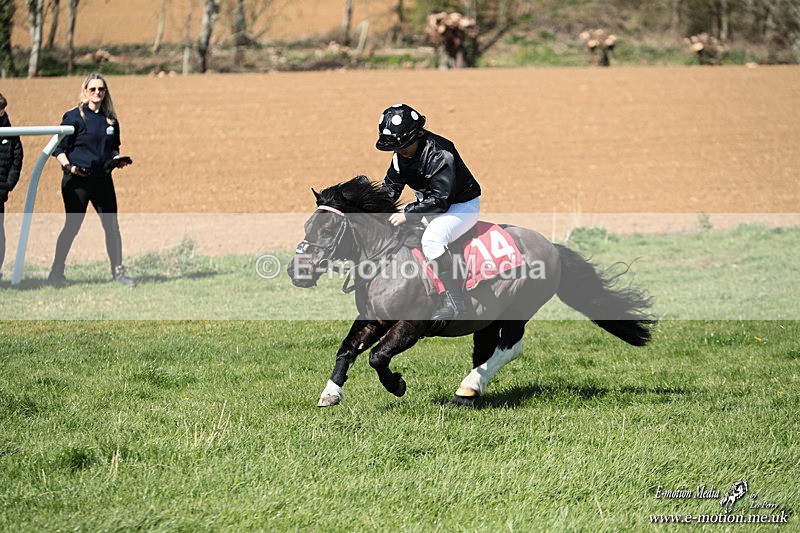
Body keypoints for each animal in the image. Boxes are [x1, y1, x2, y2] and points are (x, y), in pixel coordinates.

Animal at [287, 176, 655, 407]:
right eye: (307, 226)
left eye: (327, 229)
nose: (296, 271)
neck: (386, 260)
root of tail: (550, 246)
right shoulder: (372, 319)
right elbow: (346, 349)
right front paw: (330, 394)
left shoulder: (411, 325)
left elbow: (378, 356)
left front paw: (397, 385)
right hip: (488, 316)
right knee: (487, 349)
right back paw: (467, 393)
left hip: (518, 308)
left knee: (510, 347)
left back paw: (470, 386)